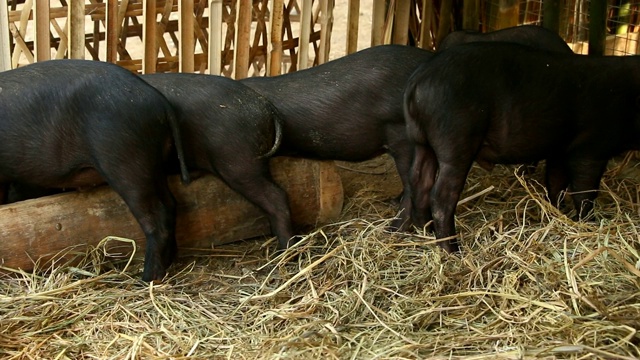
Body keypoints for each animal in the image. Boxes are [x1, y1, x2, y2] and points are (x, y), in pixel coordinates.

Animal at [0, 59, 189, 282]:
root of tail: (158, 100)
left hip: (127, 162)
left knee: (157, 216)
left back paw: (145, 279)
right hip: (153, 164)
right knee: (170, 204)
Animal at [404, 43, 640, 253]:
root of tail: (417, 80)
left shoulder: (559, 150)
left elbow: (556, 184)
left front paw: (558, 214)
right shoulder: (591, 148)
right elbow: (585, 191)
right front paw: (588, 222)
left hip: (421, 141)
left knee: (419, 181)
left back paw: (425, 233)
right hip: (456, 138)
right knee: (441, 195)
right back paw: (452, 250)